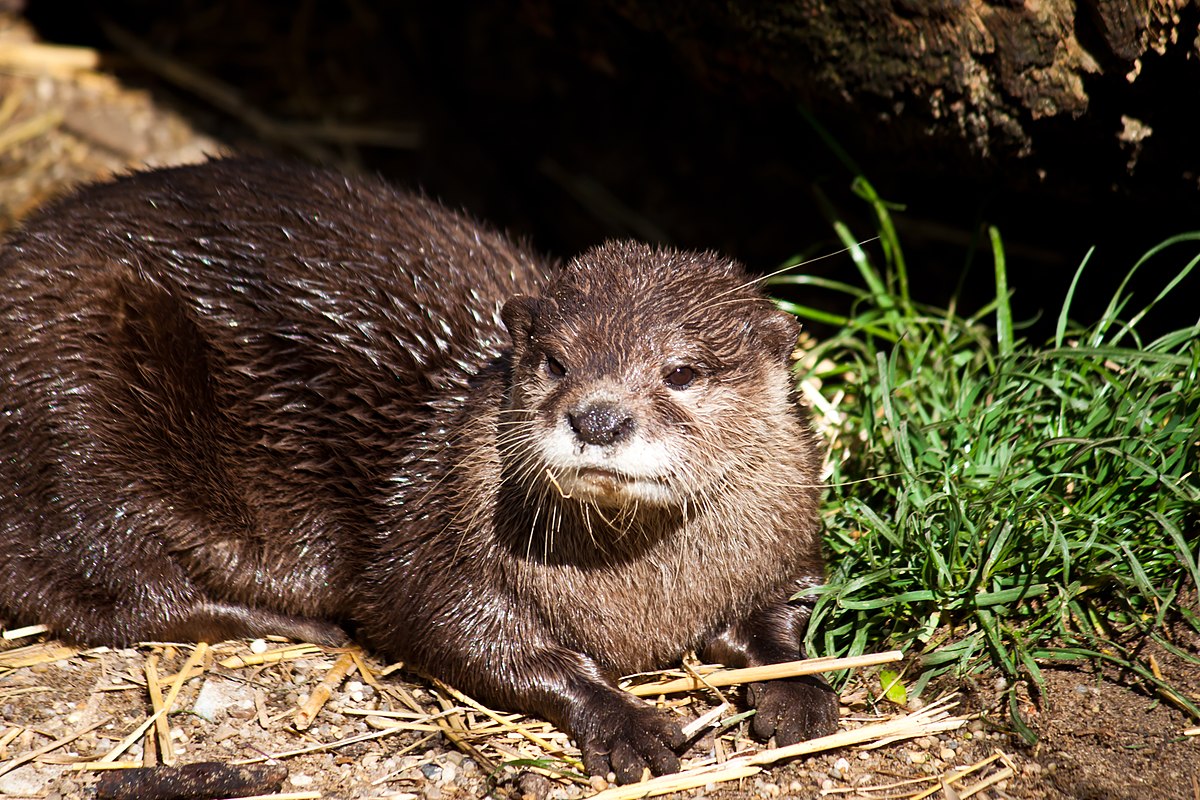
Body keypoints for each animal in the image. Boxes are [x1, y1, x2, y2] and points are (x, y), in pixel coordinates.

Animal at [0, 159, 840, 786]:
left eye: (682, 372)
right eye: (555, 361)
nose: (598, 418)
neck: (646, 596)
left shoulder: (787, 536)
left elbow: (788, 607)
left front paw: (798, 688)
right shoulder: (432, 539)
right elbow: (457, 632)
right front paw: (624, 720)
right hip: (74, 395)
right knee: (108, 588)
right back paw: (293, 619)